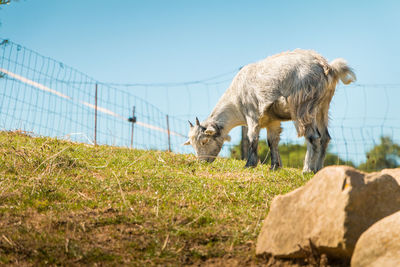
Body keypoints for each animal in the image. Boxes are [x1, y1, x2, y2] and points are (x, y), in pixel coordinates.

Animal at [184, 49, 356, 174]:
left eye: (204, 141)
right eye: (192, 144)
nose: (202, 162)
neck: (235, 102)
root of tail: (327, 67)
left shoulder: (252, 115)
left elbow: (252, 138)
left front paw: (249, 165)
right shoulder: (272, 120)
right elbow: (272, 141)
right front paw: (274, 167)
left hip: (303, 105)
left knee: (313, 137)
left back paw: (307, 170)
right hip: (322, 106)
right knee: (325, 137)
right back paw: (318, 169)